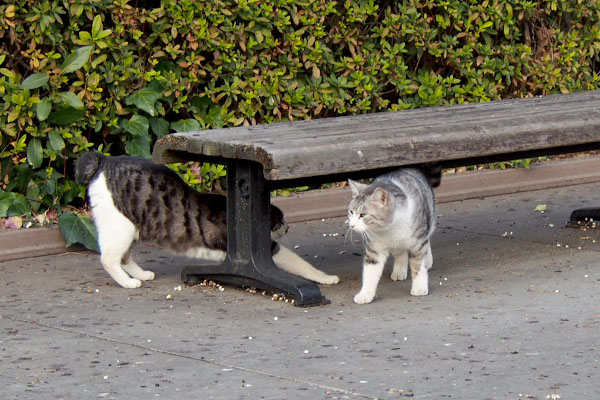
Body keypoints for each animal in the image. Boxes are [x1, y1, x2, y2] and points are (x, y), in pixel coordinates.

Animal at [74, 152, 342, 288]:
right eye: (280, 222)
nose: (288, 228)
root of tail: (103, 159)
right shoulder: (270, 248)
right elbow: (300, 264)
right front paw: (326, 278)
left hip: (133, 228)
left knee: (124, 257)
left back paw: (140, 275)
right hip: (119, 227)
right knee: (109, 258)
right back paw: (128, 283)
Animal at [344, 166, 438, 304]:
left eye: (362, 215)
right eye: (351, 212)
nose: (351, 225)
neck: (389, 229)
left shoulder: (418, 242)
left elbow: (418, 265)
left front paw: (419, 287)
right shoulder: (374, 247)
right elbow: (370, 271)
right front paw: (365, 294)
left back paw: (428, 259)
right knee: (400, 252)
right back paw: (399, 271)